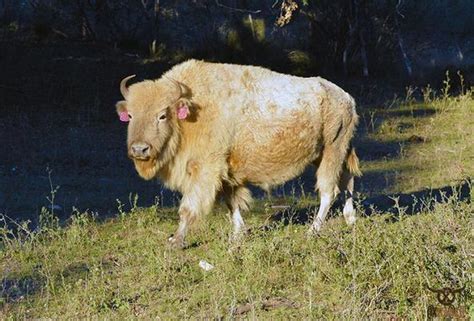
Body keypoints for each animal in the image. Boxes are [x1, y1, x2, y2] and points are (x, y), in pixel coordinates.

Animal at [116, 60, 362, 248]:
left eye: (162, 115)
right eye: (130, 115)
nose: (139, 149)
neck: (190, 113)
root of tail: (346, 97)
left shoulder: (205, 170)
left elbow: (188, 208)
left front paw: (176, 241)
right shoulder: (227, 172)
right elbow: (232, 203)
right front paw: (237, 236)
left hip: (333, 150)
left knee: (329, 191)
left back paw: (313, 231)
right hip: (329, 154)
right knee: (347, 180)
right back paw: (350, 219)